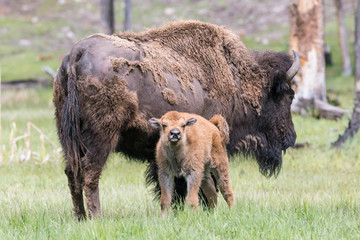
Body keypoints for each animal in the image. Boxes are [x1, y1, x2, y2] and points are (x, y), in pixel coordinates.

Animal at [53, 20, 300, 219]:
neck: (235, 79)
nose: (291, 137)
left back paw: (80, 217)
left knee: (72, 173)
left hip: (69, 138)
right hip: (101, 138)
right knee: (90, 173)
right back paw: (97, 217)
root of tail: (77, 55)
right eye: (287, 96)